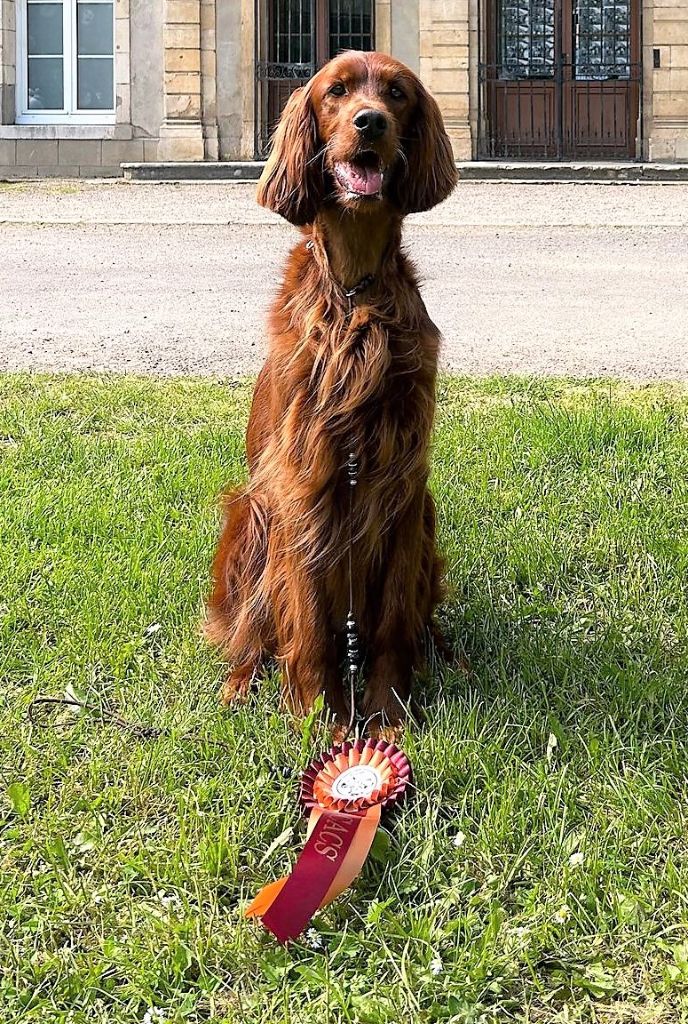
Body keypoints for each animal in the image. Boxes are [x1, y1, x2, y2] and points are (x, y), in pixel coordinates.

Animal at [206, 50, 457, 736]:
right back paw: (239, 687)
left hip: (426, 516)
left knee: (420, 617)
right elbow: (309, 620)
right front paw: (321, 718)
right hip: (251, 516)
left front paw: (386, 714)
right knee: (250, 632)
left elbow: (395, 618)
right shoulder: (303, 482)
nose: (370, 123)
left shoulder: (402, 482)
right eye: (336, 92)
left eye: (396, 94)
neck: (354, 294)